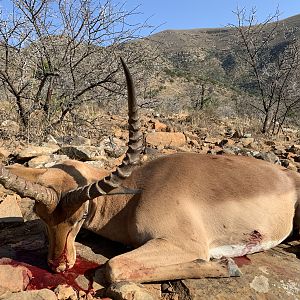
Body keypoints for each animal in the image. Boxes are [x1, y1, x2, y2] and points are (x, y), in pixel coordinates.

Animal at [0, 59, 300, 284]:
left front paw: (227, 266)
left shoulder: (185, 244)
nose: (58, 266)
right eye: (41, 216)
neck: (133, 196)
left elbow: (114, 267)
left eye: (80, 217)